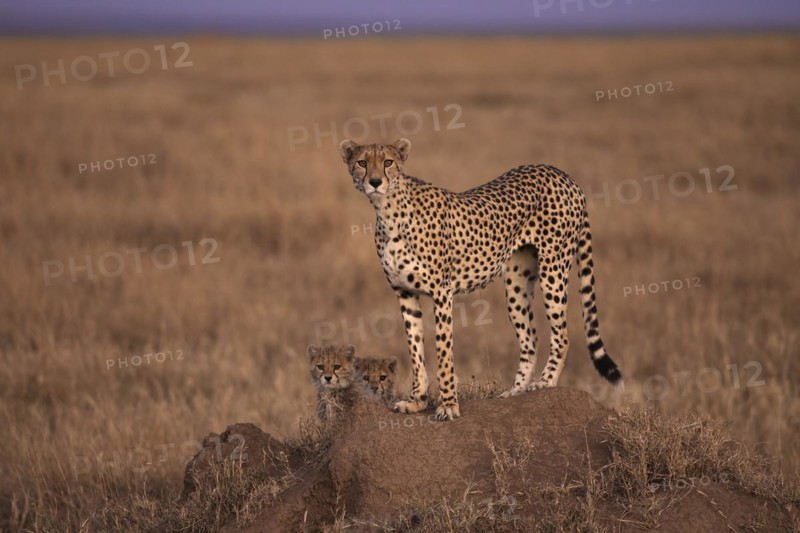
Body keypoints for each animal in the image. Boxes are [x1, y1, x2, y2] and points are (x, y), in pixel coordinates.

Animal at [339, 138, 623, 421]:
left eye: (388, 162)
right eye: (362, 162)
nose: (375, 181)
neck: (388, 211)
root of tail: (562, 174)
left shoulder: (442, 293)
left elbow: (444, 353)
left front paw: (448, 405)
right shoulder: (404, 293)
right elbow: (415, 350)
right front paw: (416, 401)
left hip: (553, 268)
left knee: (562, 335)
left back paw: (545, 382)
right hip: (516, 283)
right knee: (530, 339)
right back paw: (516, 391)